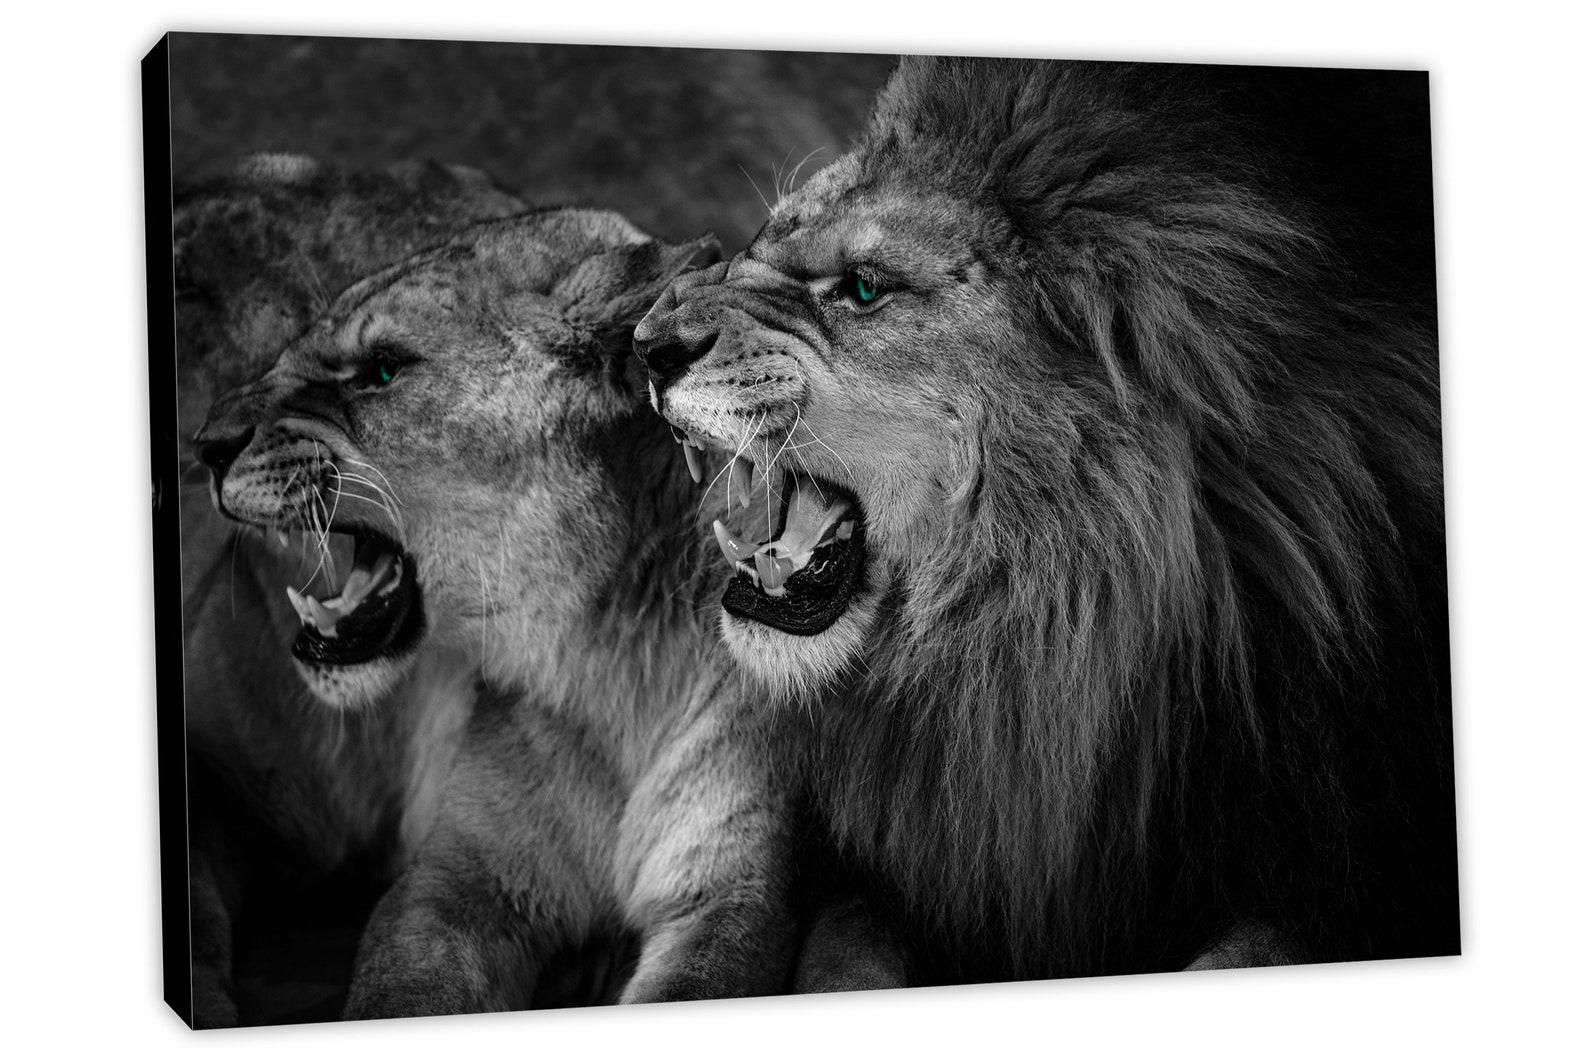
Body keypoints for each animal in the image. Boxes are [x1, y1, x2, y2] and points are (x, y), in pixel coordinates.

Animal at [194, 210, 906, 1018]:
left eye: (382, 369)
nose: (206, 444)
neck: (607, 650)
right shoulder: (457, 877)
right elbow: (401, 988)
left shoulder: (728, 895)